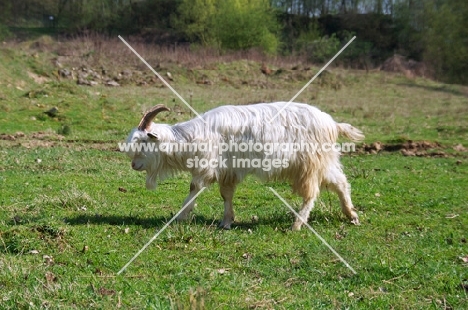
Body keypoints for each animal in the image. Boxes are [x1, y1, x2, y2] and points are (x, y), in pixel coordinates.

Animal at [122, 101, 364, 230]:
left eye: (143, 141)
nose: (134, 165)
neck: (191, 137)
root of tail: (332, 124)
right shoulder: (228, 170)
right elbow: (226, 194)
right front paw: (227, 221)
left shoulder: (207, 166)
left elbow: (195, 188)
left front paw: (180, 217)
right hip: (324, 161)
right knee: (341, 183)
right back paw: (351, 215)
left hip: (309, 164)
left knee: (312, 193)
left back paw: (297, 224)